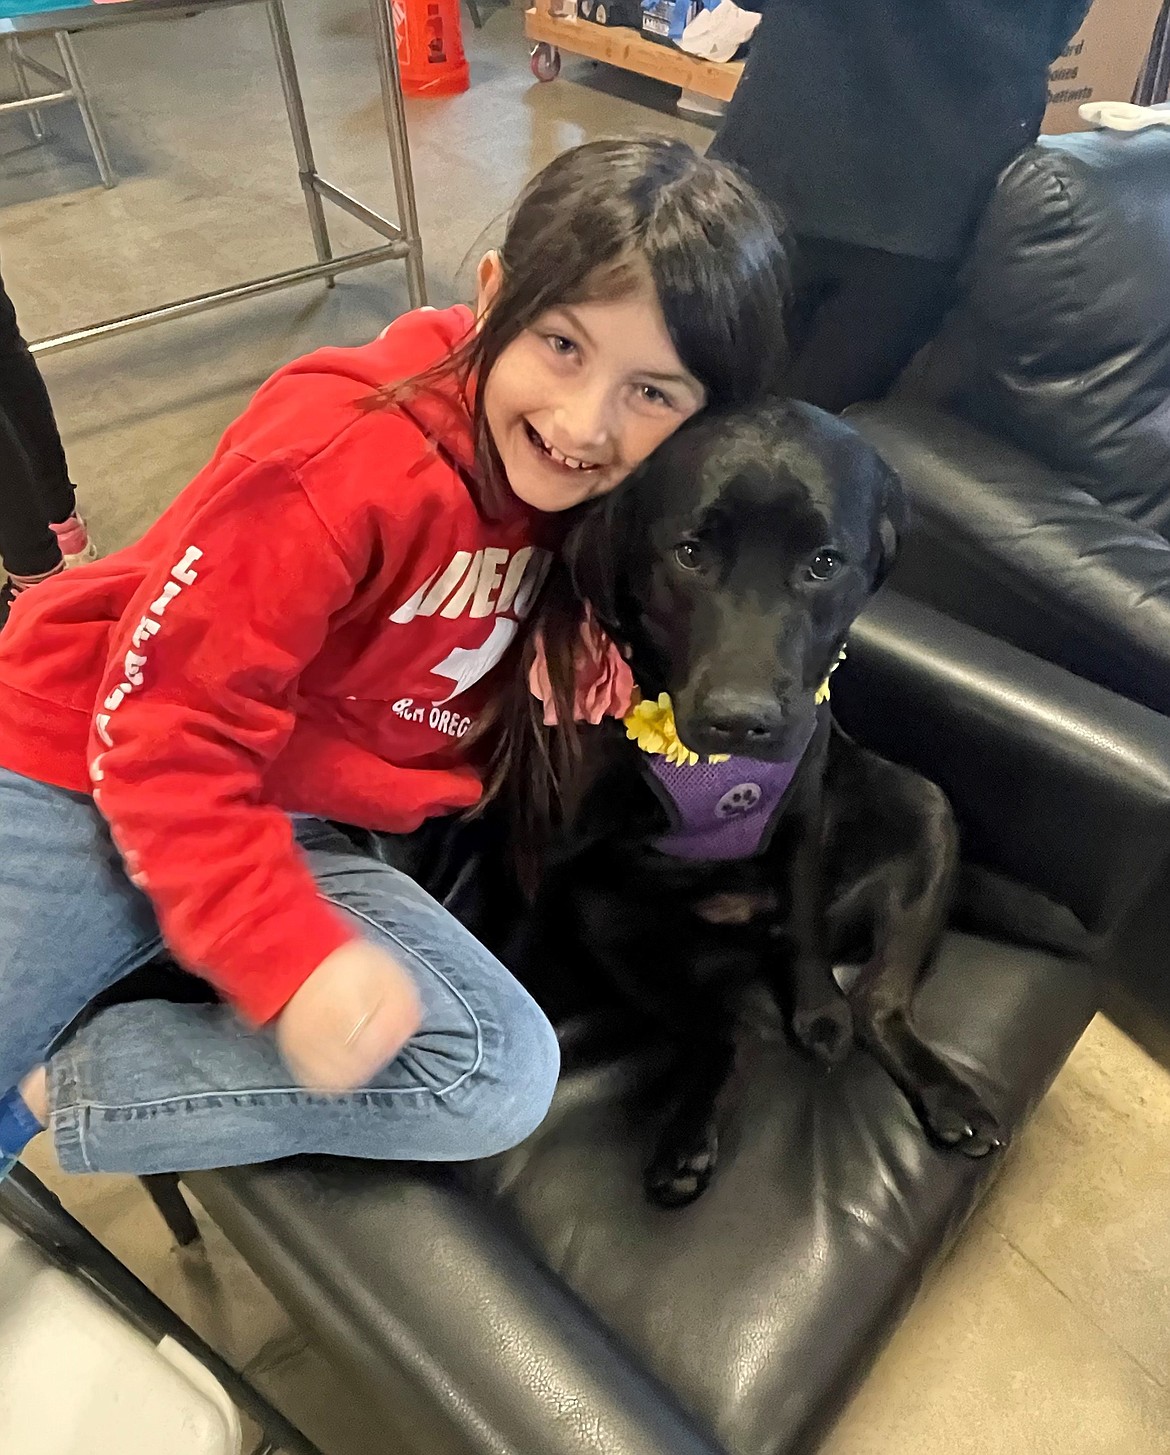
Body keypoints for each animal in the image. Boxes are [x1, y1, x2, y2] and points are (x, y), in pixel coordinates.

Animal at [526, 398, 1001, 1204]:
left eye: (824, 564)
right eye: (689, 554)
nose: (741, 719)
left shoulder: (803, 809)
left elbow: (804, 921)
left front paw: (815, 1010)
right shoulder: (558, 850)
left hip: (927, 811)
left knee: (876, 1002)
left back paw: (943, 1092)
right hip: (608, 918)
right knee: (721, 1033)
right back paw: (690, 1136)